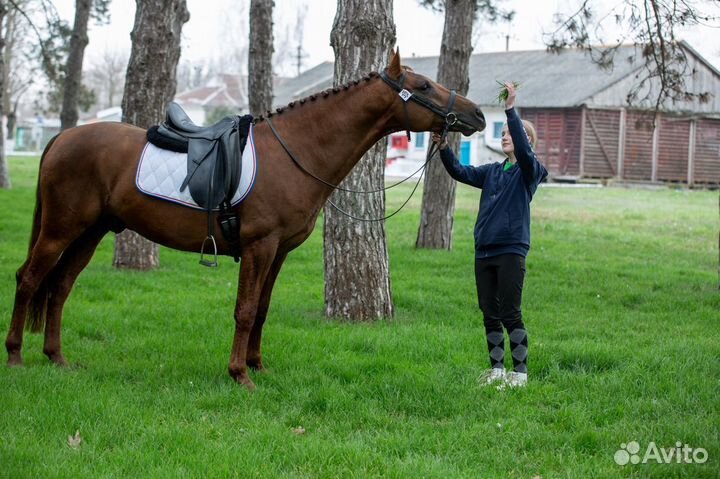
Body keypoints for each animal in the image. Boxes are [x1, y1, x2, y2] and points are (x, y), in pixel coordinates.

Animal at [5, 51, 486, 390]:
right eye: (423, 84)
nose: (477, 114)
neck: (296, 152)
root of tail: (64, 137)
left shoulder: (279, 252)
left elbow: (263, 310)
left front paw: (257, 365)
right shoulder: (260, 246)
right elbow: (246, 309)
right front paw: (239, 374)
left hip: (90, 232)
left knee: (60, 286)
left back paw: (57, 358)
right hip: (60, 230)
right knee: (29, 279)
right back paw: (14, 356)